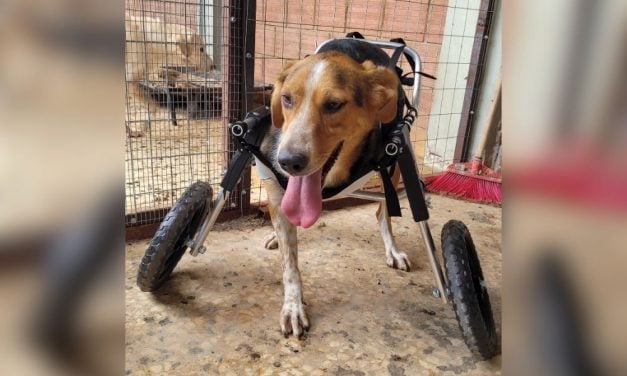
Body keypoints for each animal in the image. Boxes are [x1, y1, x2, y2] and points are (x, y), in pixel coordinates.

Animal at [258, 40, 412, 338]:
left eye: (333, 105)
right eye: (287, 99)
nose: (287, 162)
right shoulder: (277, 191)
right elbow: (290, 265)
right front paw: (293, 306)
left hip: (394, 168)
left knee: (383, 213)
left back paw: (392, 248)